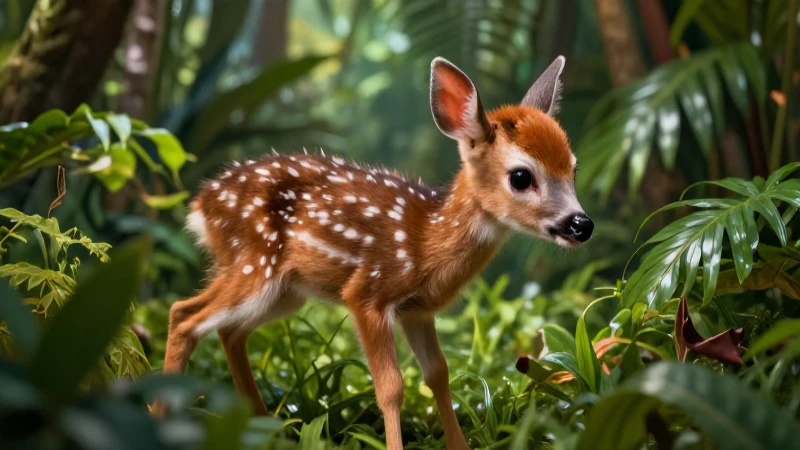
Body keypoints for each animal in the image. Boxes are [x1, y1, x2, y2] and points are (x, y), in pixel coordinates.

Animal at [154, 55, 592, 450]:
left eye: (574, 168)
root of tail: (200, 204)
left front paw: (460, 446)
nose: (581, 224)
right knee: (183, 315)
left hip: (283, 292)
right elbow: (391, 387)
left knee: (229, 331)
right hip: (253, 263)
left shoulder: (418, 311)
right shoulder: (368, 293)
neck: (424, 241)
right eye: (521, 176)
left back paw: (265, 428)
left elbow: (438, 374)